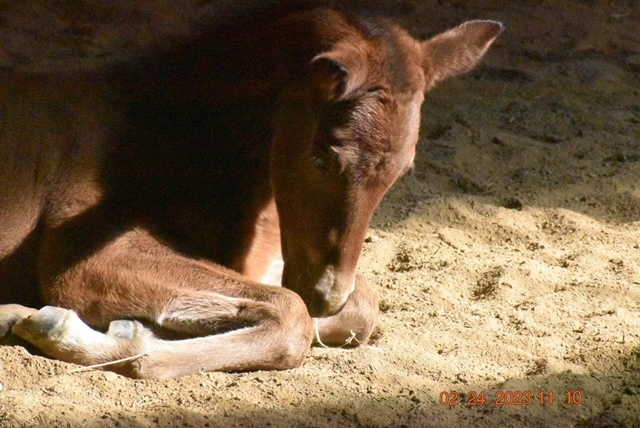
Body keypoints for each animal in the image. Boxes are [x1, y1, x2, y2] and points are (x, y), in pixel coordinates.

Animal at [0, 8, 500, 378]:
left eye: (402, 173)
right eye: (323, 157)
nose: (326, 295)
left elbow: (361, 308)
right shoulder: (83, 256)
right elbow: (293, 316)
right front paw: (65, 327)